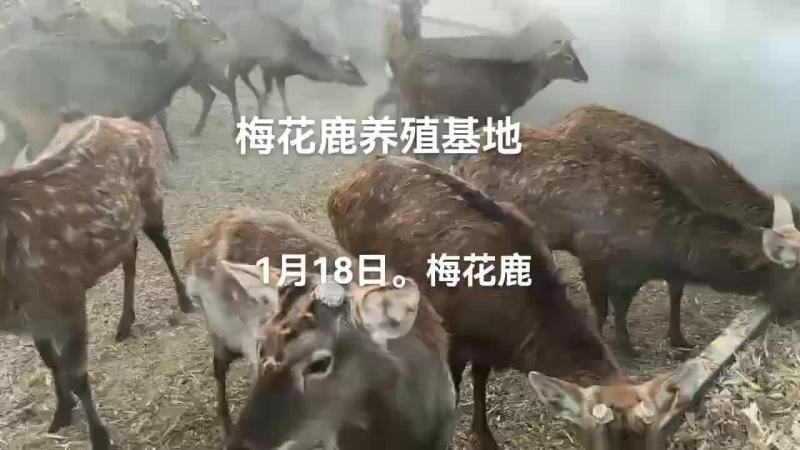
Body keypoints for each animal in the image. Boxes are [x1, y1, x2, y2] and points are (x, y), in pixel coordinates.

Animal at [0, 115, 192, 450]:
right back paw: (125, 323)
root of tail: (134, 124)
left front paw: (100, 436)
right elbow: (51, 361)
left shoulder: (68, 298)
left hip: (152, 195)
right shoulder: (35, 315)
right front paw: (61, 413)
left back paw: (184, 299)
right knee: (131, 252)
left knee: (163, 245)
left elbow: (76, 373)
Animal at [327, 155, 688, 450]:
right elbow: (455, 385)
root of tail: (340, 187)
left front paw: (485, 436)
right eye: (605, 438)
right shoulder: (455, 333)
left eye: (660, 440)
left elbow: (480, 381)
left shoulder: (486, 347)